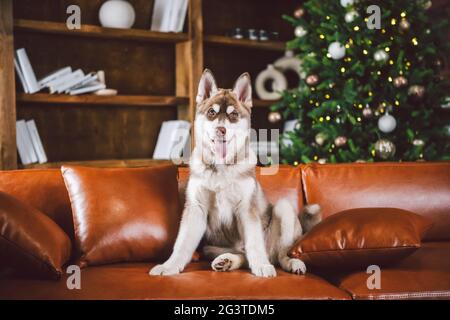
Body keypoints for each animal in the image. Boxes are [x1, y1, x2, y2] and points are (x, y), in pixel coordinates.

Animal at [150, 70, 320, 278]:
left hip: (284, 208)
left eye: (233, 115)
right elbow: (182, 244)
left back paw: (290, 263)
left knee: (279, 254)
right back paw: (227, 261)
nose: (221, 130)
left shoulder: (246, 208)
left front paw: (261, 266)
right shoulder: (196, 209)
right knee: (243, 254)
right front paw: (169, 266)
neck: (221, 169)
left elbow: (254, 242)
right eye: (212, 112)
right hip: (209, 247)